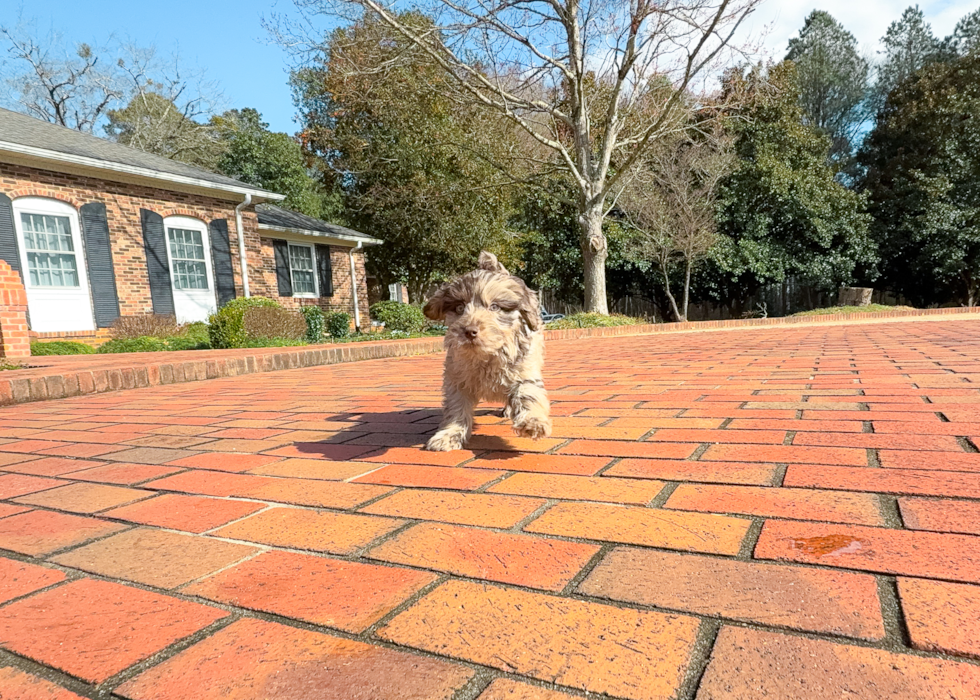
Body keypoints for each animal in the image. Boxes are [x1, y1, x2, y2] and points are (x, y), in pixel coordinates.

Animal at [422, 252, 552, 454]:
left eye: (495, 307)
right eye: (459, 308)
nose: (469, 331)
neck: (486, 356)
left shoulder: (524, 370)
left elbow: (527, 394)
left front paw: (533, 422)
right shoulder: (456, 380)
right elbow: (456, 409)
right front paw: (449, 435)